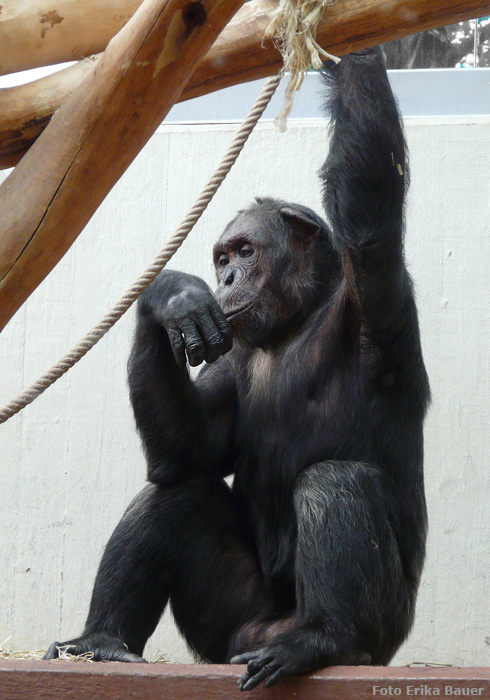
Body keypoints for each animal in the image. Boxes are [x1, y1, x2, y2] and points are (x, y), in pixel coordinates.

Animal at [45, 47, 428, 688]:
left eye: (245, 252)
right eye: (221, 257)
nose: (224, 278)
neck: (298, 318)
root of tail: (260, 636)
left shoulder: (375, 289)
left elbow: (369, 207)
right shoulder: (229, 358)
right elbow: (190, 452)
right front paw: (171, 296)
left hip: (382, 631)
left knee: (334, 480)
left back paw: (323, 640)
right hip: (226, 629)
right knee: (175, 494)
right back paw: (100, 641)